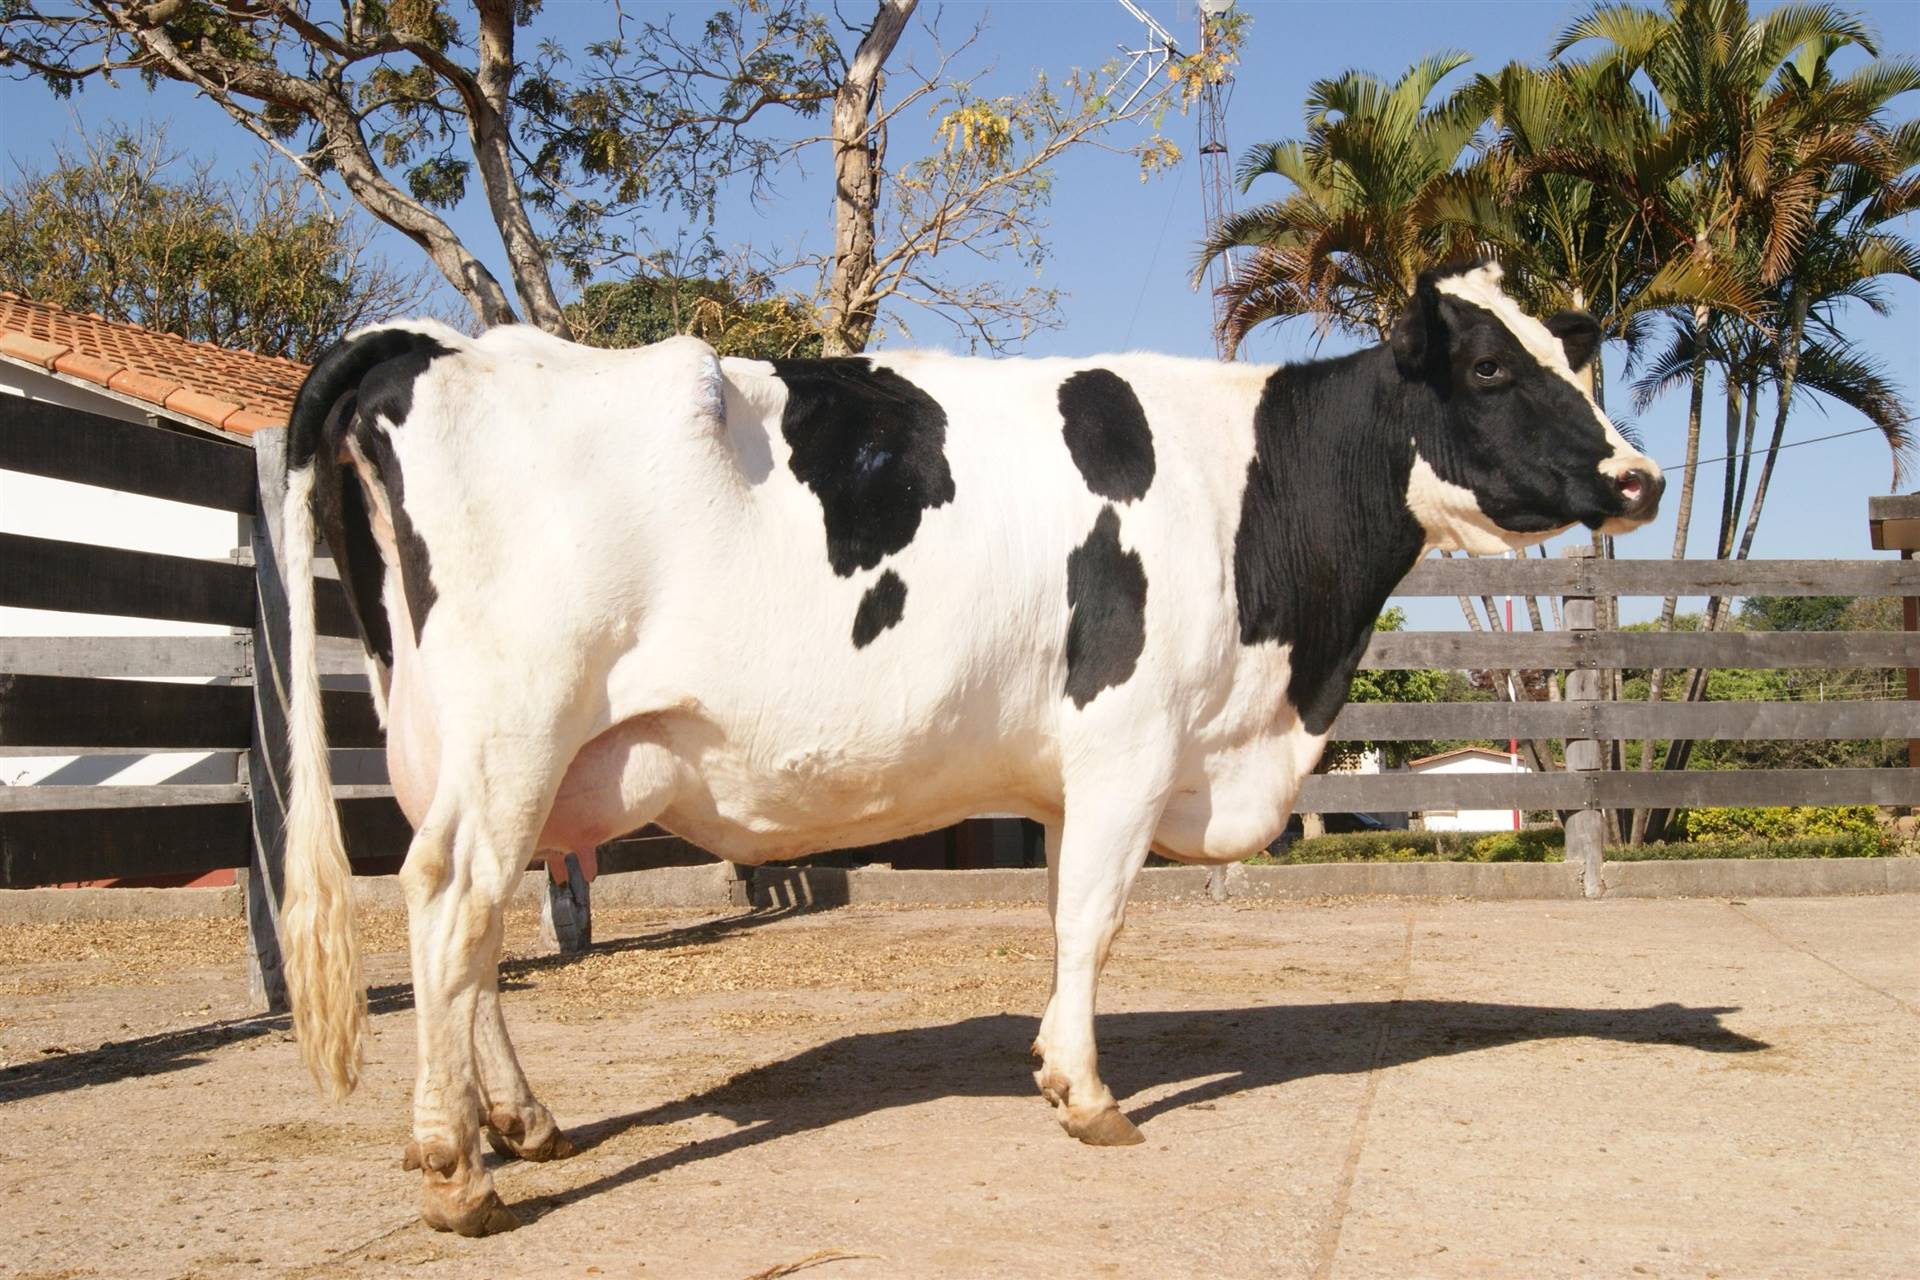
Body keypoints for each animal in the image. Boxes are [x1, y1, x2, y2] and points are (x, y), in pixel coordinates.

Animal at [275, 259, 1662, 1235]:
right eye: (1489, 366)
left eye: (1573, 357)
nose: (1641, 477)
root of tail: (437, 345)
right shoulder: (1128, 744)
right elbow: (1095, 918)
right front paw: (1089, 1095)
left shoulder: (1062, 777)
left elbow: (1058, 915)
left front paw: (1051, 1062)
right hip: (514, 724)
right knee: (448, 904)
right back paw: (455, 1168)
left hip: (457, 741)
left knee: (473, 932)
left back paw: (520, 1119)